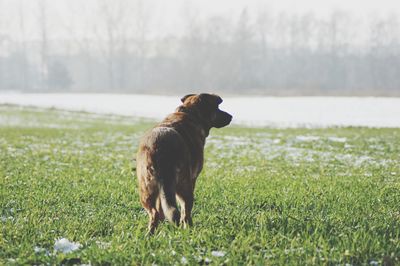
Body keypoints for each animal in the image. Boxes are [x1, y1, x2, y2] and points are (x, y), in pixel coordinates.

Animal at [137, 93, 233, 233]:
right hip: (184, 186)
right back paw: (189, 228)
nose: (231, 117)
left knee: (155, 213)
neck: (190, 113)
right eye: (217, 107)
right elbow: (184, 211)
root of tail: (159, 149)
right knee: (184, 212)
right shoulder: (192, 180)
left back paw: (150, 234)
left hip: (146, 189)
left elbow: (161, 209)